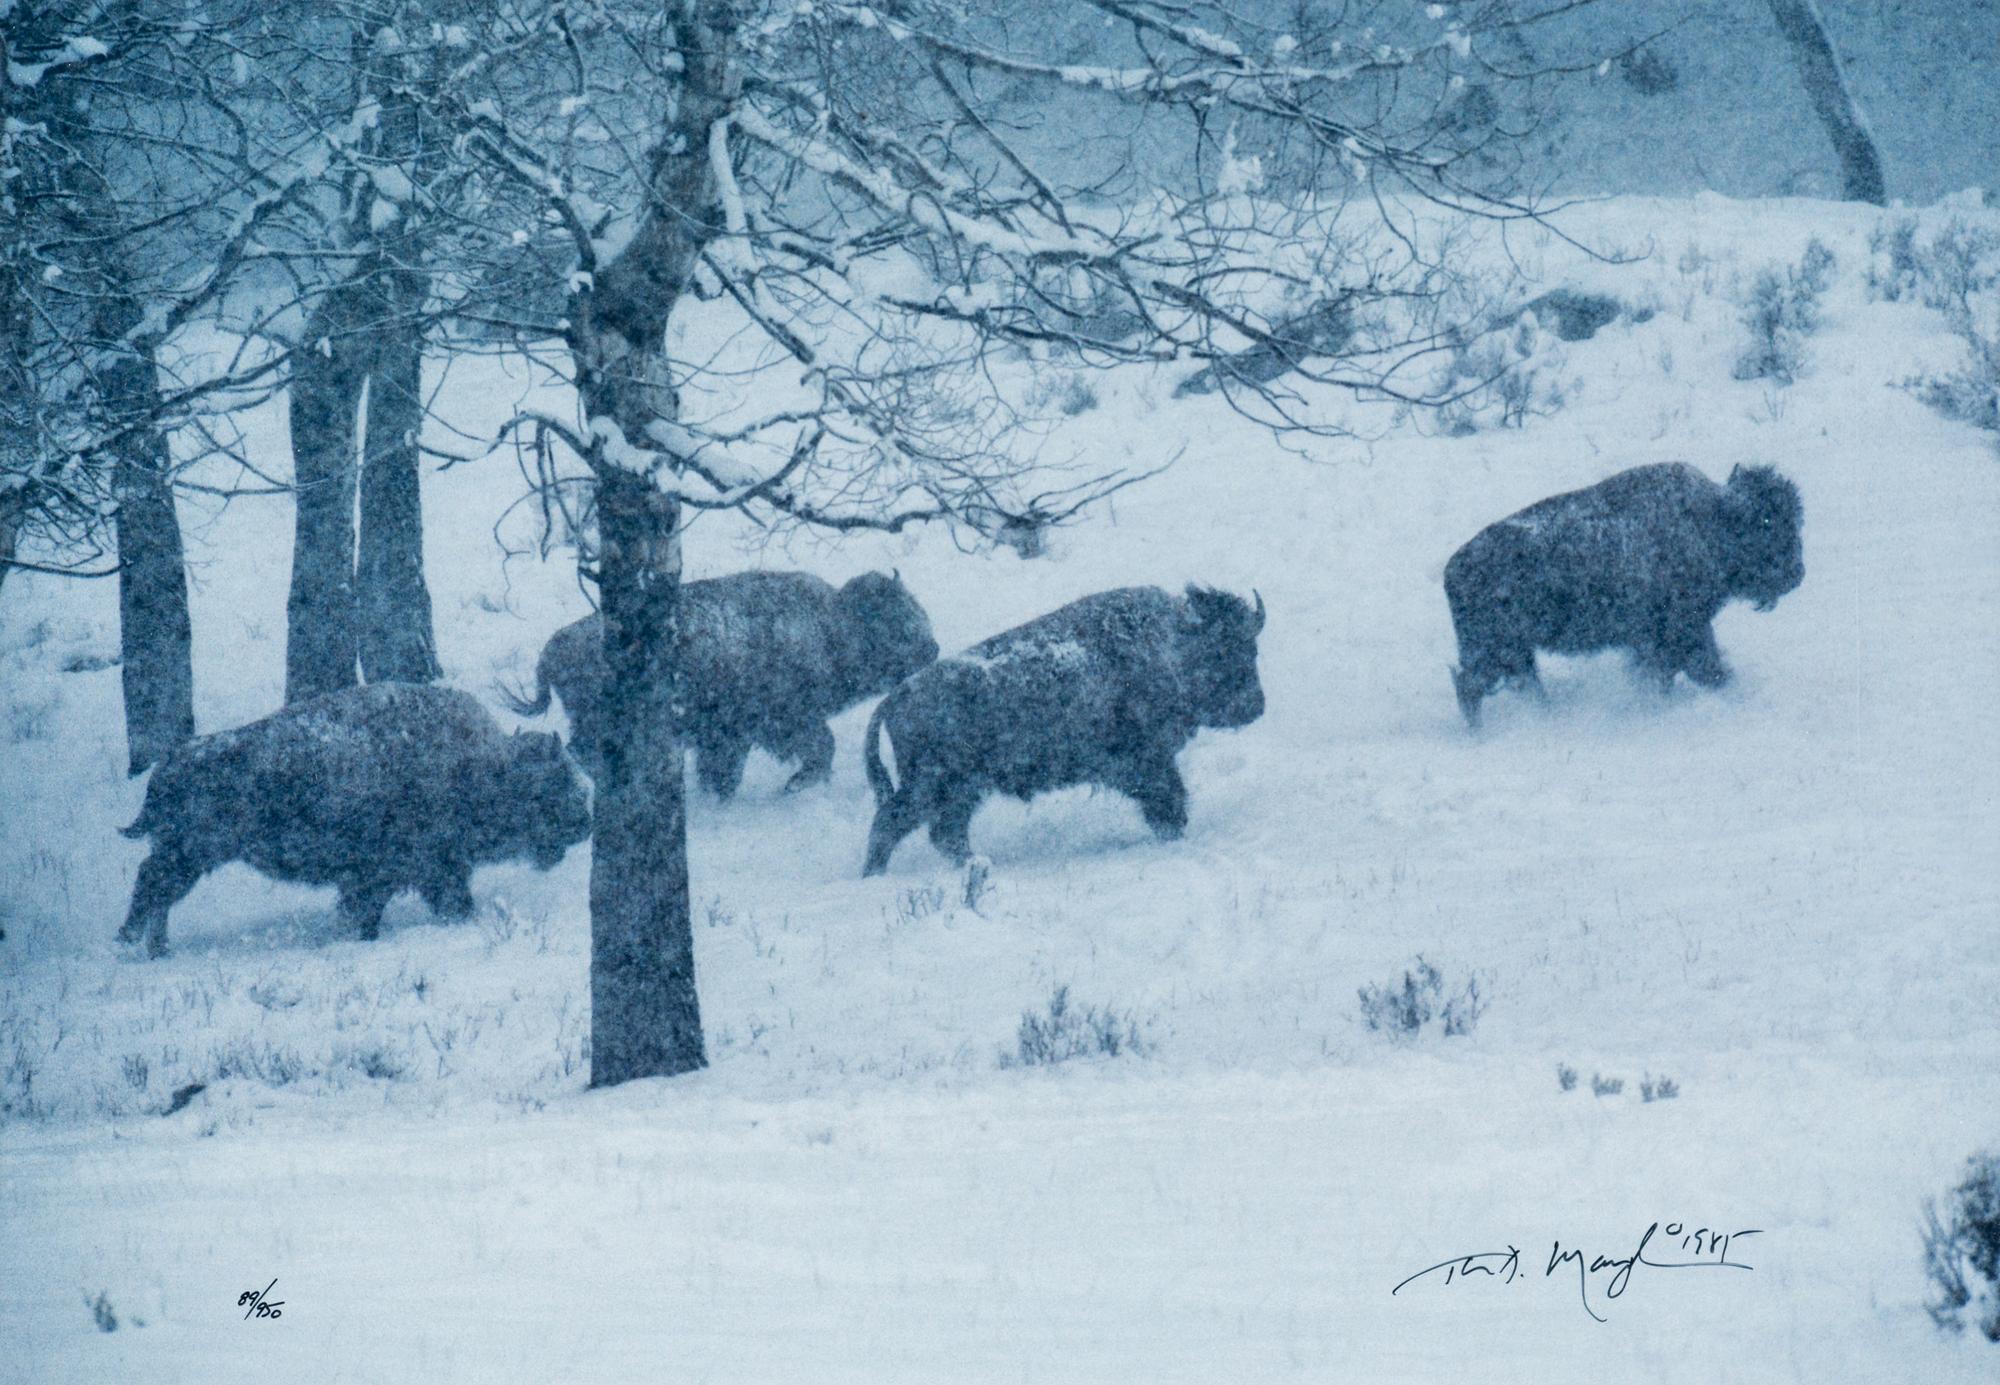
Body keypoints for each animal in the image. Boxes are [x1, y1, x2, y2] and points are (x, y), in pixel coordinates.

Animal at [117, 683, 591, 957]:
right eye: (553, 781)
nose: (584, 821)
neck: (478, 766)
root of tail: (173, 760)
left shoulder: (380, 876)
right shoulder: (416, 870)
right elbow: (438, 902)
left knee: (157, 891)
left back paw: (157, 948)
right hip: (191, 854)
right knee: (152, 883)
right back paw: (134, 941)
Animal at [508, 570, 938, 798]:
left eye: (918, 610)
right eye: (897, 621)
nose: (932, 648)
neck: (832, 625)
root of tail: (553, 650)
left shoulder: (731, 737)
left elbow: (723, 772)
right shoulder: (780, 722)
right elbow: (820, 746)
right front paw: (796, 784)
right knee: (583, 750)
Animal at [861, 585, 1266, 875]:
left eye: (1252, 648)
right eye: (1226, 651)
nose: (1256, 706)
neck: (1173, 645)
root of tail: (895, 698)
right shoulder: (1148, 763)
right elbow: (1169, 801)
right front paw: (1174, 835)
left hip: (963, 792)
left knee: (944, 834)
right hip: (934, 787)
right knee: (892, 823)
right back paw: (876, 874)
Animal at [1444, 462, 1804, 727]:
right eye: (1768, 520)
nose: (1797, 574)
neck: (1709, 522)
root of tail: (1453, 568)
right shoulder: (1683, 631)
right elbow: (1704, 669)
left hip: (1515, 653)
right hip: (1496, 651)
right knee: (1471, 687)